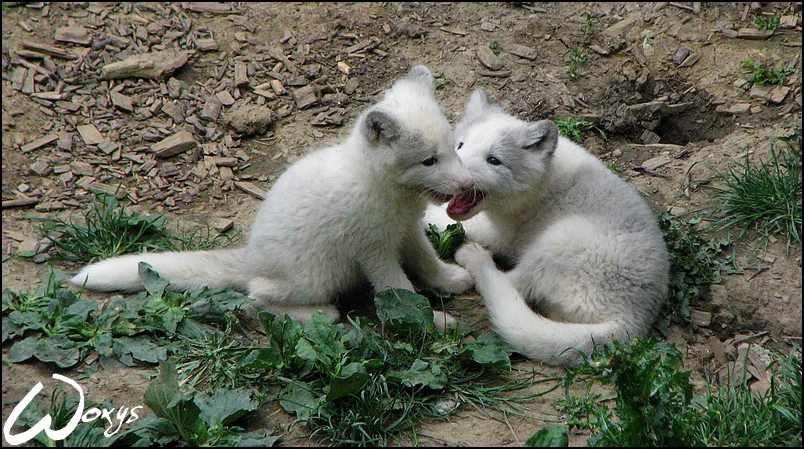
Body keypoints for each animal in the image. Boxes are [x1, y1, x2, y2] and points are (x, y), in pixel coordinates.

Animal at [71, 66, 474, 330]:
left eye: (454, 148)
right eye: (428, 160)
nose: (468, 182)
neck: (383, 187)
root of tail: (251, 258)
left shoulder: (408, 231)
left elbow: (426, 260)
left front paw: (449, 279)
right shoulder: (374, 251)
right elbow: (400, 291)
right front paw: (432, 320)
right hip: (317, 276)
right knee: (256, 297)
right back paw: (319, 314)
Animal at [429, 88, 669, 365]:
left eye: (494, 160)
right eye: (460, 145)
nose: (458, 176)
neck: (543, 182)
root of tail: (632, 319)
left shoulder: (504, 236)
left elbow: (454, 222)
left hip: (558, 239)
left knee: (509, 283)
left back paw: (473, 256)